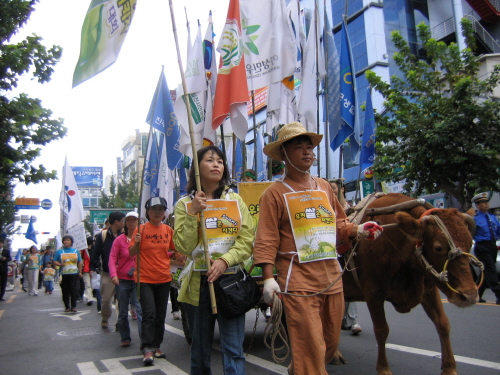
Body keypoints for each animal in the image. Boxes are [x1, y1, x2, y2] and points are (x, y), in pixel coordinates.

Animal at [344, 194, 476, 375]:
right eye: (438, 247)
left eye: (469, 243)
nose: (469, 296)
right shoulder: (373, 292)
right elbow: (381, 330)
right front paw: (383, 368)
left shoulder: (429, 289)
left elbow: (443, 323)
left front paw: (449, 368)